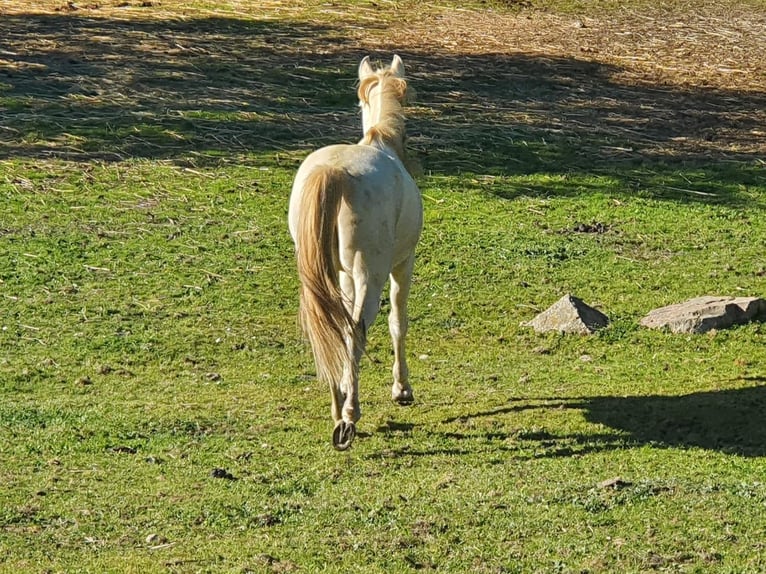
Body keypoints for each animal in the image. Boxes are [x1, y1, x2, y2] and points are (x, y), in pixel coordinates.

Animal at [288, 56, 424, 452]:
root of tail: (334, 171)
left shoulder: (345, 277)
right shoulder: (403, 265)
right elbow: (398, 322)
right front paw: (402, 388)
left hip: (324, 276)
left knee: (332, 328)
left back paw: (338, 407)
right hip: (372, 274)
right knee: (355, 330)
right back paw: (349, 416)